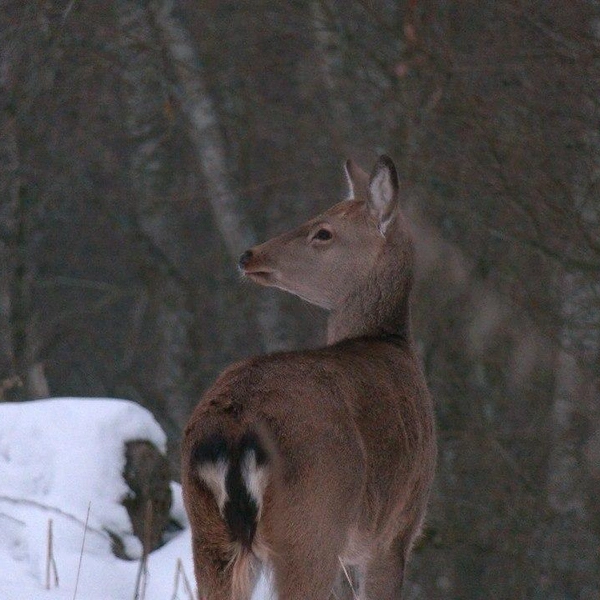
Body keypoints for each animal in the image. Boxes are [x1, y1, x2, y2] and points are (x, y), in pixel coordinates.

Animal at [180, 156, 438, 600]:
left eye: (323, 232)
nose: (249, 255)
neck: (390, 342)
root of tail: (234, 431)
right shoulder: (396, 529)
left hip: (209, 536)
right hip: (313, 521)